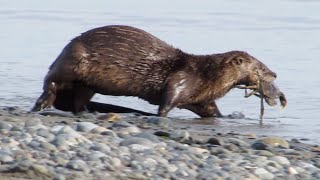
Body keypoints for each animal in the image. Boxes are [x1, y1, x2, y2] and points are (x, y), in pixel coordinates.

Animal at [31, 25, 278, 118]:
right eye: (261, 67)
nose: (274, 74)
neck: (207, 76)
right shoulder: (181, 80)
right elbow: (167, 101)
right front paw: (160, 116)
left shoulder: (202, 98)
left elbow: (212, 111)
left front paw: (224, 117)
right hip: (73, 62)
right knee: (50, 81)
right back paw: (41, 104)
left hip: (86, 85)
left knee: (77, 100)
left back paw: (85, 111)